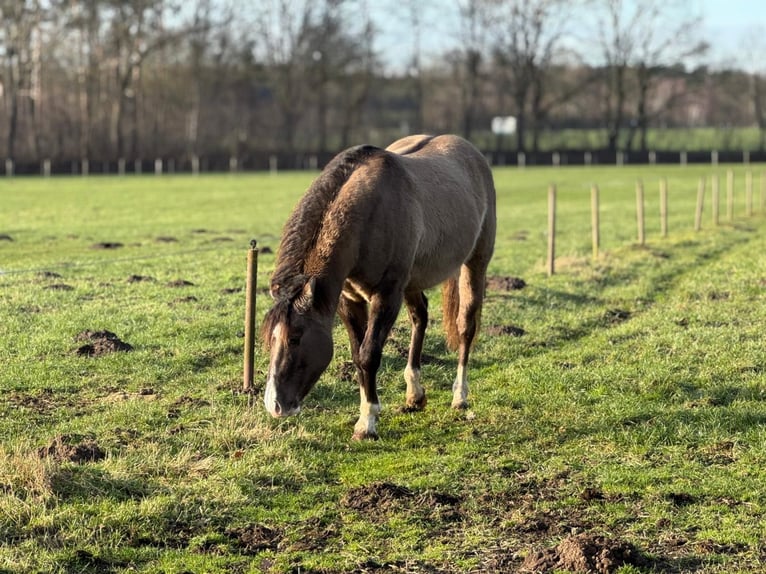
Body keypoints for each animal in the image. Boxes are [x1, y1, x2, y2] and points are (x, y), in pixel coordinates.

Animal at [261, 134, 496, 440]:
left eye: (295, 338)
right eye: (270, 338)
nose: (275, 405)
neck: (368, 216)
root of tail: (472, 152)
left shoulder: (386, 296)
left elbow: (368, 355)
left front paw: (367, 423)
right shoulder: (349, 300)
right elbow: (357, 354)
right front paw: (368, 413)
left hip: (475, 264)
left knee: (466, 326)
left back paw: (460, 396)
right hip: (412, 281)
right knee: (420, 317)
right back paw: (415, 395)